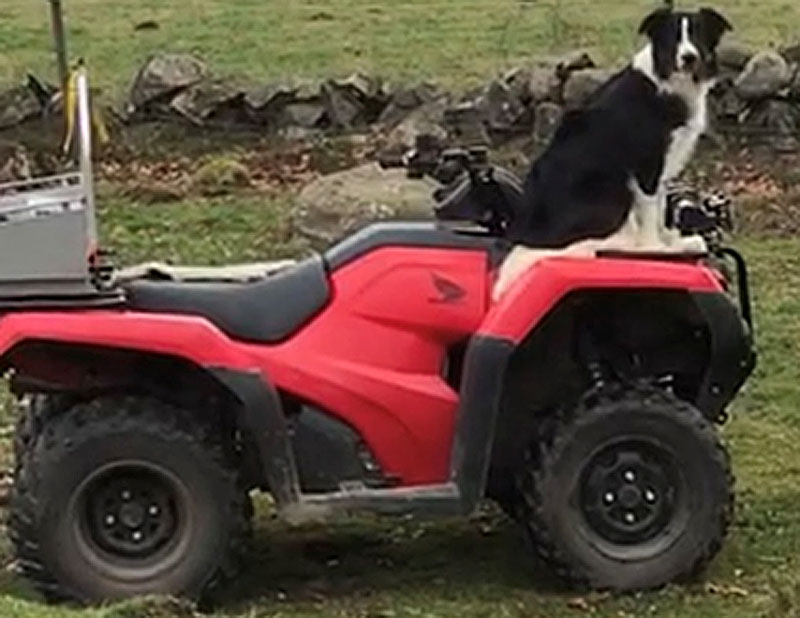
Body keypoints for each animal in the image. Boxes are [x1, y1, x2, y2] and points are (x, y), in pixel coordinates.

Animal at [496, 6, 736, 296]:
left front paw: (670, 240)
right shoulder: (646, 165)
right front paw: (656, 250)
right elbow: (650, 211)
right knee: (592, 244)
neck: (667, 80)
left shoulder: (664, 166)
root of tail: (528, 236)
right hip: (611, 189)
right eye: (673, 37)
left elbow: (660, 209)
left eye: (698, 34)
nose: (688, 58)